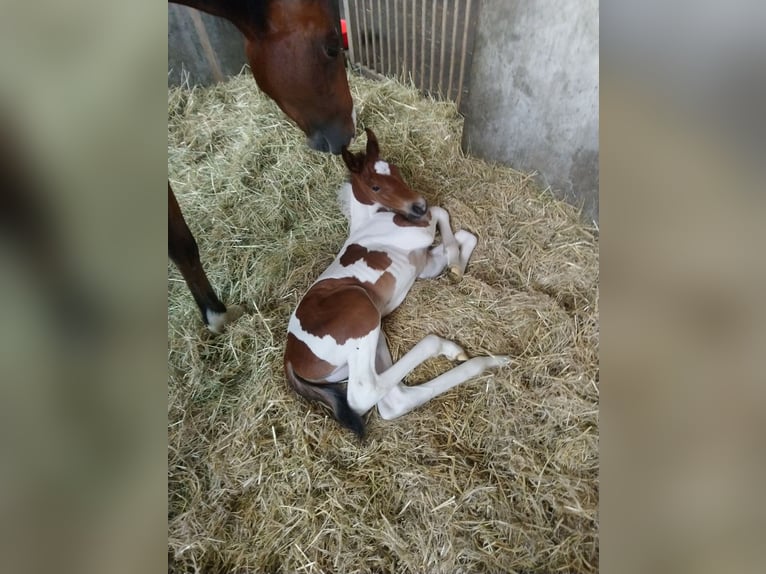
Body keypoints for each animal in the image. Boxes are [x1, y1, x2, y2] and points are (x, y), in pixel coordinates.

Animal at [284, 130, 510, 436]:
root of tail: (290, 356)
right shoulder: (418, 233)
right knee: (364, 393)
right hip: (362, 313)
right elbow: (440, 212)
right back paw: (449, 349)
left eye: (396, 170)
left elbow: (465, 235)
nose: (418, 205)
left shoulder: (424, 265)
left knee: (394, 400)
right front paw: (454, 259)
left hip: (370, 338)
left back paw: (486, 361)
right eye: (375, 186)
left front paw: (455, 268)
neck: (370, 222)